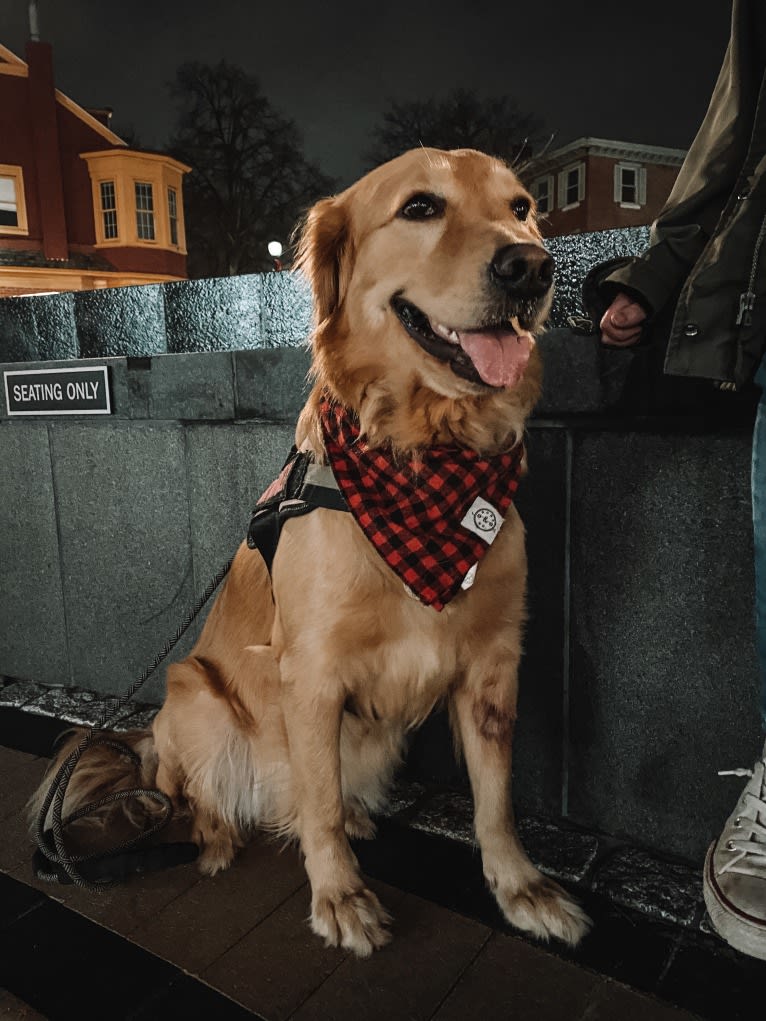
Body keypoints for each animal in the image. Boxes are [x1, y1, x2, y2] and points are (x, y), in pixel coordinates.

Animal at [30, 148, 592, 951]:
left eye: (521, 208)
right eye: (421, 207)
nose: (533, 267)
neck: (420, 458)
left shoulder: (493, 665)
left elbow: (495, 800)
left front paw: (521, 887)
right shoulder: (313, 672)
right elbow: (316, 799)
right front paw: (339, 895)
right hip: (194, 691)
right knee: (195, 793)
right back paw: (216, 839)